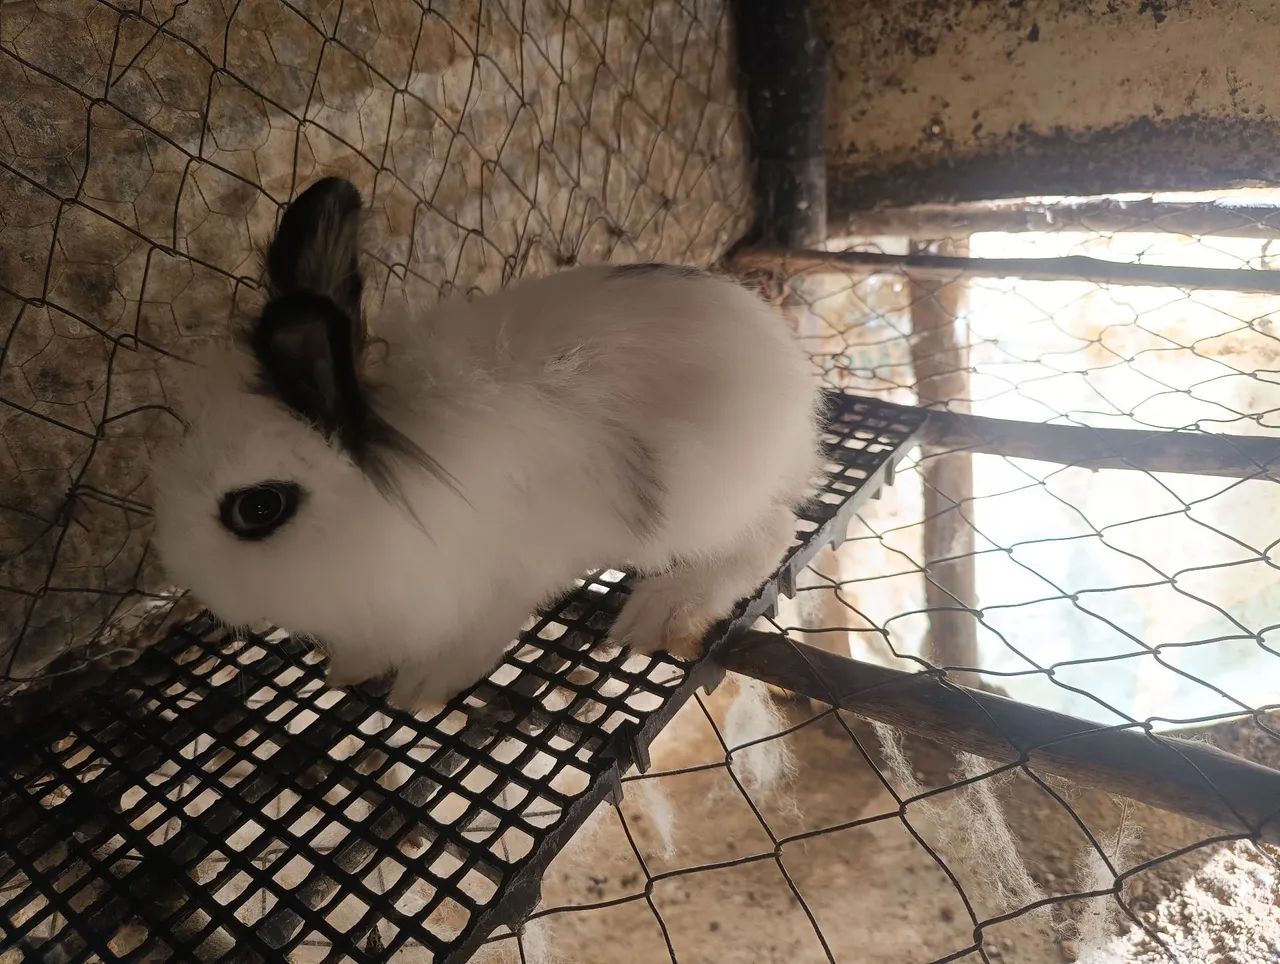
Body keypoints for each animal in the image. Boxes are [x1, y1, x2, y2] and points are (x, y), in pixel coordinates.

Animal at [149, 177, 823, 712]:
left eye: (259, 507)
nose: (197, 584)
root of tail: (795, 396)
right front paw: (349, 669)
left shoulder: (502, 579)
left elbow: (474, 637)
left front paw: (419, 688)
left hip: (696, 501)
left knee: (769, 532)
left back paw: (662, 612)